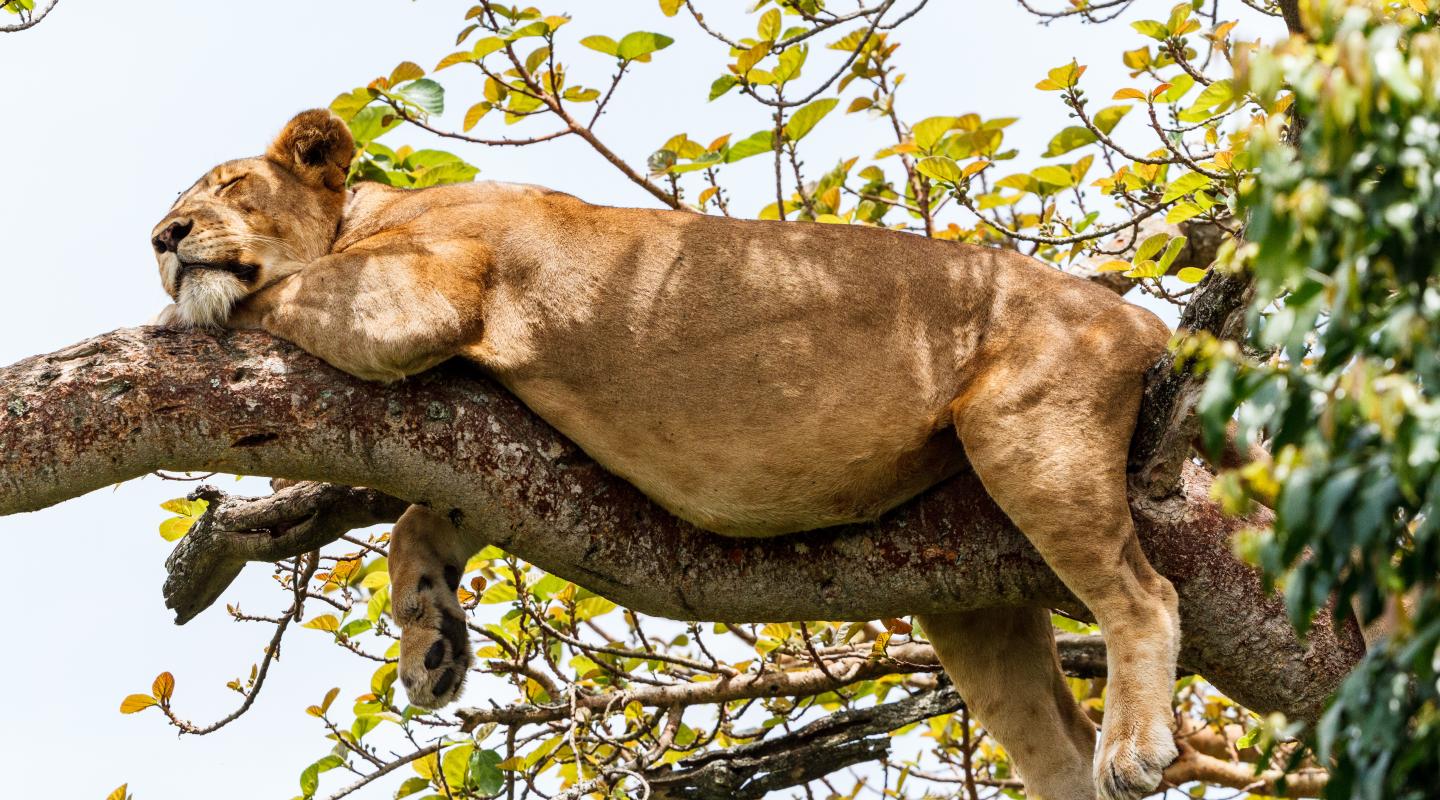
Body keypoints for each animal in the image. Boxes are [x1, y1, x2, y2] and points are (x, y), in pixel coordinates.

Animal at [151, 109, 1179, 800]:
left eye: (231, 189)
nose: (163, 237)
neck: (363, 214)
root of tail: (1141, 318)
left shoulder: (422, 291)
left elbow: (267, 295)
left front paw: (181, 308)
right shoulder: (497, 454)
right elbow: (419, 521)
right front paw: (431, 644)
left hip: (1027, 433)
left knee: (1144, 595)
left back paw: (1136, 744)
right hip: (966, 599)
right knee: (1050, 735)